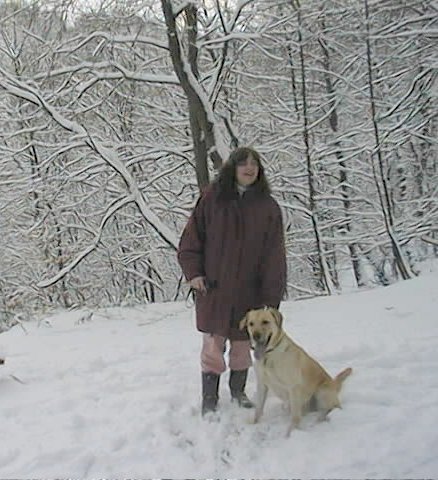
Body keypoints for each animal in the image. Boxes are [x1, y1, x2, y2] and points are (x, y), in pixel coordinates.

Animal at [240, 308, 352, 436]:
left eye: (265, 322)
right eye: (251, 324)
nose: (256, 335)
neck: (269, 356)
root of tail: (334, 384)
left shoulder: (293, 387)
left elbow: (295, 417)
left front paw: (290, 434)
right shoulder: (262, 384)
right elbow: (258, 409)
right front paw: (254, 424)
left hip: (322, 393)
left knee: (331, 409)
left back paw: (320, 420)